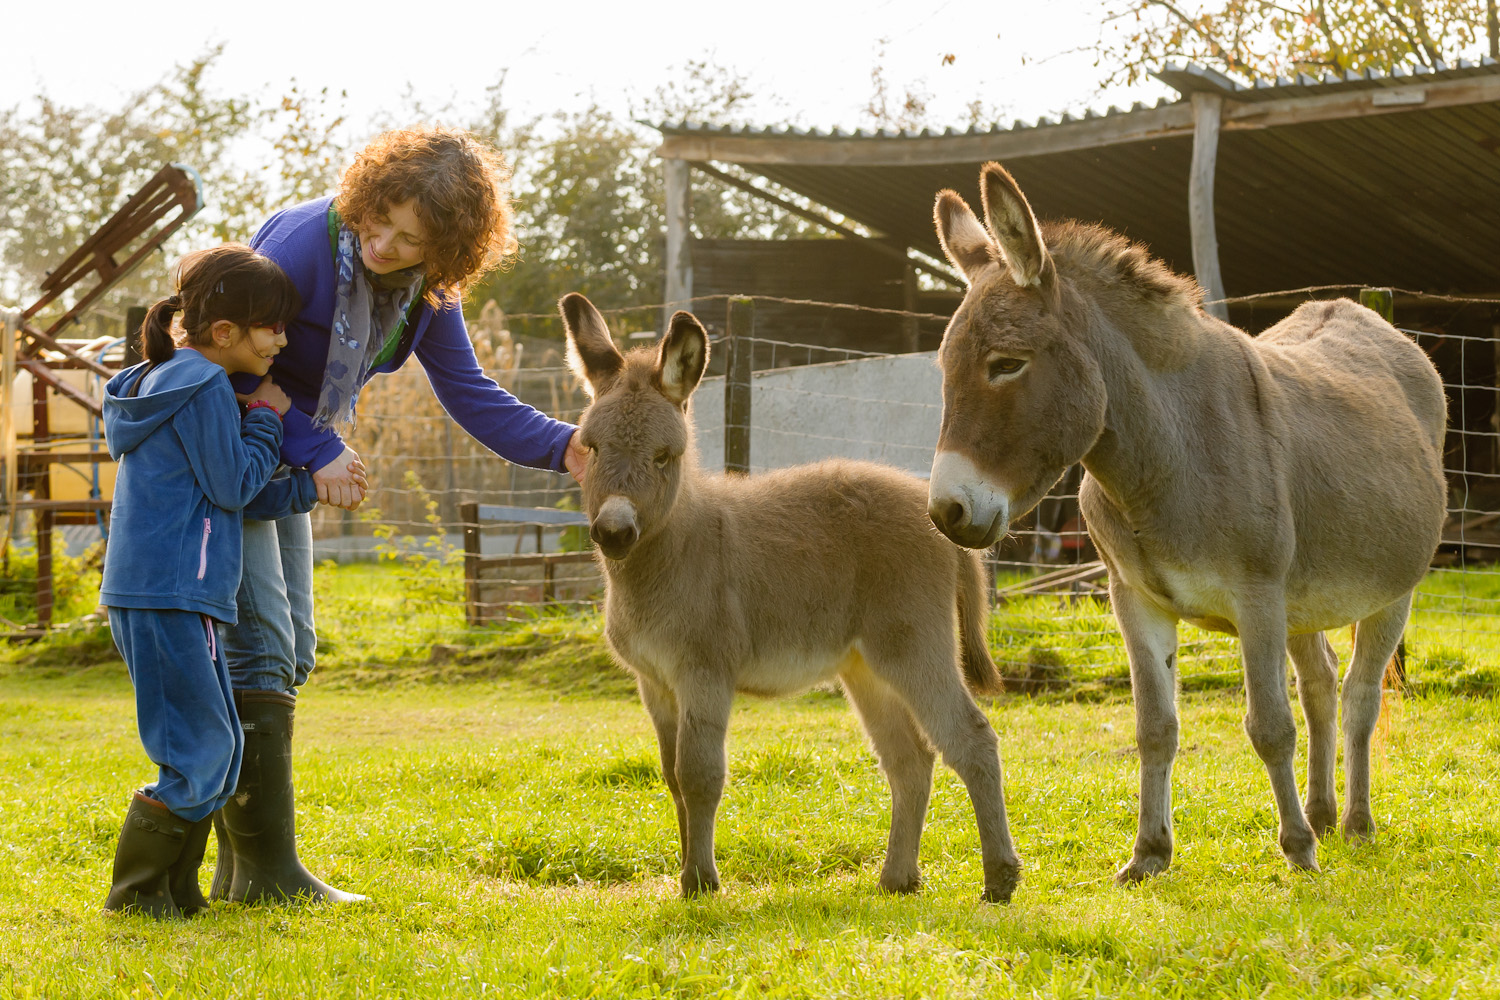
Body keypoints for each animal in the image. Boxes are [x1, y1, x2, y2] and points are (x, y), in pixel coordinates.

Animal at [558, 293, 1026, 905]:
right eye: (590, 448)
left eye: (663, 455)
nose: (613, 533)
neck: (673, 550)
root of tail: (938, 517)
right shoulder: (655, 683)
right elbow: (672, 776)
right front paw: (687, 875)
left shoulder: (703, 671)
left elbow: (700, 774)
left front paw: (702, 881)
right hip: (866, 666)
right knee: (909, 760)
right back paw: (897, 879)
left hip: (912, 645)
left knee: (971, 739)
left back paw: (999, 878)